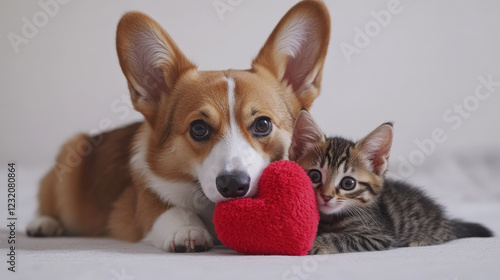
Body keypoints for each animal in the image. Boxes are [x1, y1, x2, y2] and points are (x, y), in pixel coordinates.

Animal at [290, 111, 492, 254]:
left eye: (348, 184)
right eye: (315, 176)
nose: (326, 196)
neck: (331, 218)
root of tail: (447, 220)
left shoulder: (379, 236)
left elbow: (341, 238)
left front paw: (315, 242)